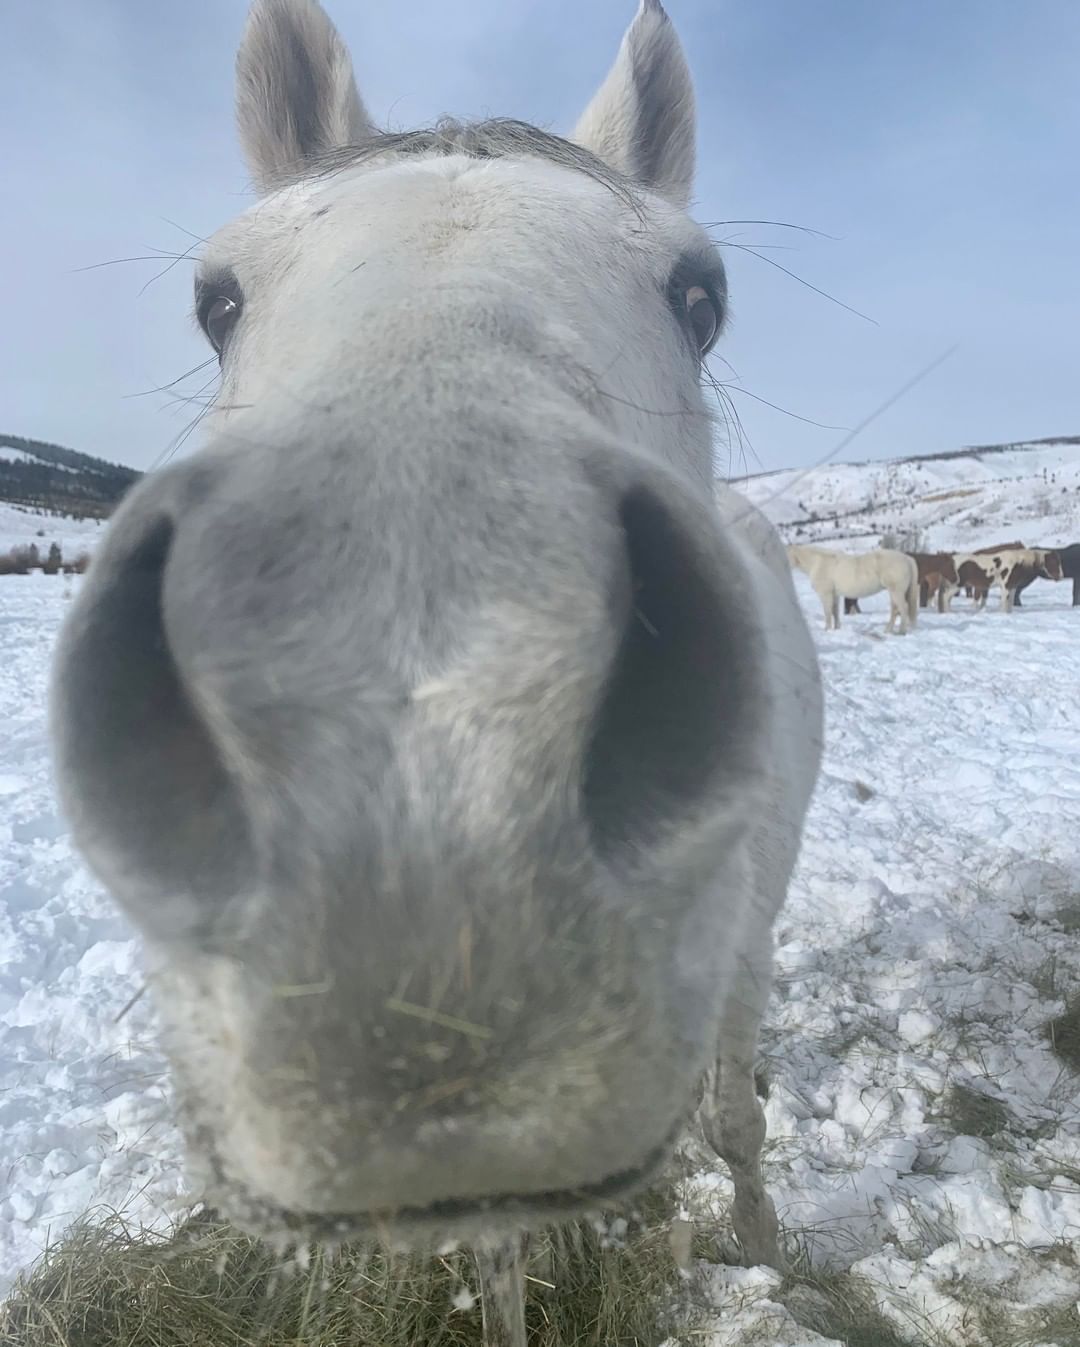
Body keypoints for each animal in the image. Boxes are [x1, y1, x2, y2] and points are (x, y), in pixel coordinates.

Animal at [46, 2, 818, 1347]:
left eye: (699, 297)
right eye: (217, 300)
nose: (420, 775)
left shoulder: (745, 937)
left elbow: (734, 1116)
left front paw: (765, 1249)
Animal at [781, 538, 915, 633]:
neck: (818, 562)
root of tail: (907, 559)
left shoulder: (825, 594)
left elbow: (827, 612)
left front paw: (827, 629)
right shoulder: (834, 594)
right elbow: (834, 611)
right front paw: (836, 628)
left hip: (896, 591)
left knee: (903, 608)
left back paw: (901, 631)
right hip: (893, 592)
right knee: (895, 609)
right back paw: (888, 630)